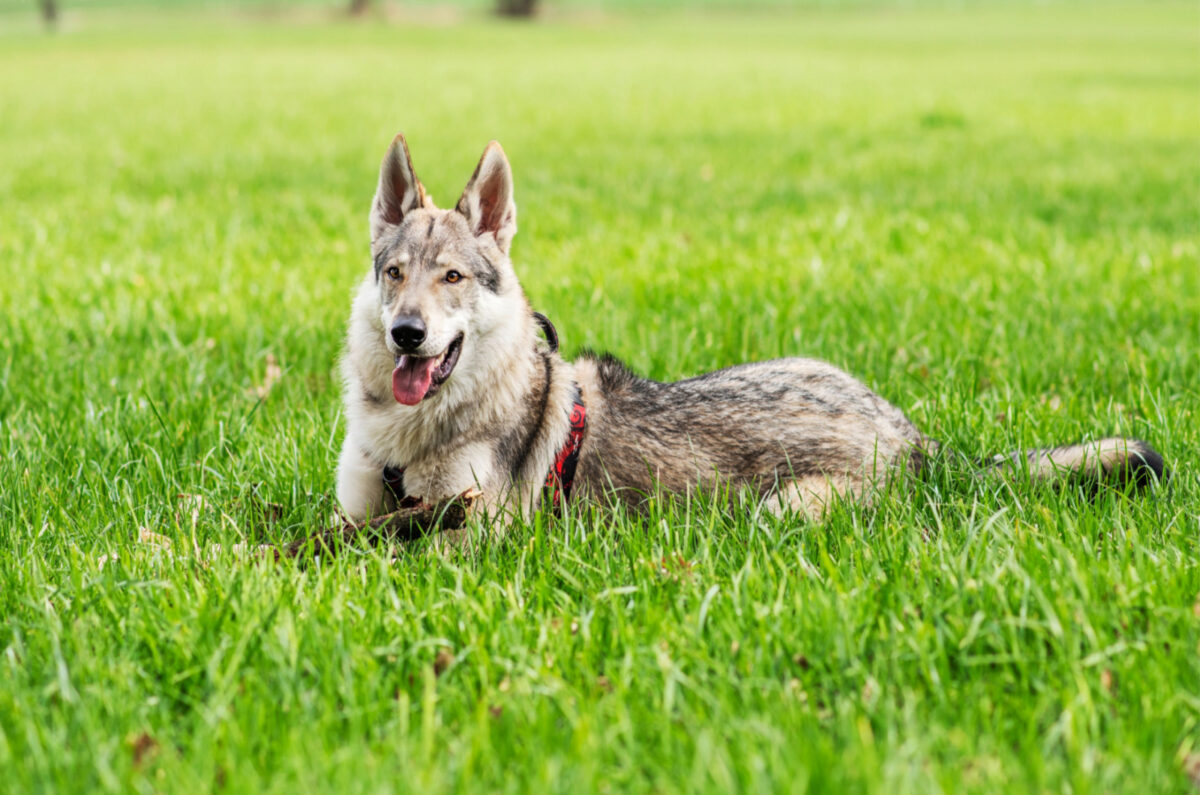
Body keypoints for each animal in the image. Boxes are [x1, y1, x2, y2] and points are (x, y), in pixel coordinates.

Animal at [335, 134, 1166, 533]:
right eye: (396, 273)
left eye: (453, 277)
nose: (407, 334)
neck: (411, 436)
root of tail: (914, 436)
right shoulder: (358, 506)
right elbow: (341, 531)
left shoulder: (470, 533)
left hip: (778, 511)